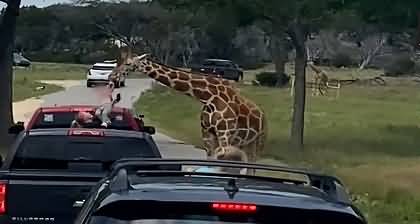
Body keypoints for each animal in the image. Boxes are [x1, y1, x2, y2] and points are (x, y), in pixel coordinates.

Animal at [114, 52, 266, 168]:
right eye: (122, 61)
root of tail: (262, 115)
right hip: (244, 143)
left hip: (257, 143)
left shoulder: (225, 133)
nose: (114, 75)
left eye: (128, 63)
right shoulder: (207, 134)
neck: (208, 97)